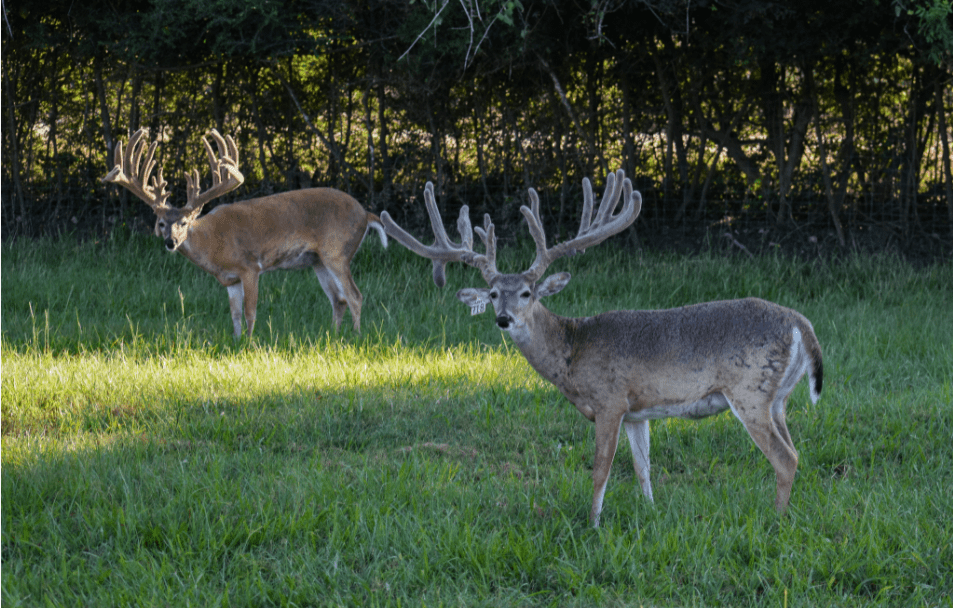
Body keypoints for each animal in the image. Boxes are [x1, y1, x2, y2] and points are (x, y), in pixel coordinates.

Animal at [102, 128, 387, 338]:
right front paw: (236, 340)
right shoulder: (230, 280)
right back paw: (333, 335)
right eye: (161, 223)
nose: (170, 242)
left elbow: (251, 312)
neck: (212, 245)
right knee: (339, 300)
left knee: (355, 296)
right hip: (317, 261)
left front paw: (250, 343)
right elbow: (235, 314)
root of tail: (365, 214)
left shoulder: (250, 266)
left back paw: (356, 335)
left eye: (183, 222)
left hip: (337, 251)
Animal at [380, 169, 823, 527]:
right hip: (778, 398)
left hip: (750, 390)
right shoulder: (637, 410)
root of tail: (801, 324)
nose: (503, 318)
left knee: (786, 458)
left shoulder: (609, 400)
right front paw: (650, 512)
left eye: (526, 293)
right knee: (795, 450)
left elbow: (600, 470)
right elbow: (643, 467)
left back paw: (776, 520)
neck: (572, 350)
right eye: (492, 294)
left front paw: (592, 523)